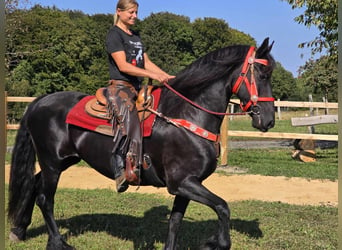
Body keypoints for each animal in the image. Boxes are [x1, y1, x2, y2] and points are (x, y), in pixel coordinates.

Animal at [7, 38, 276, 249]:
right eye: (263, 75)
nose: (269, 120)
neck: (186, 115)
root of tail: (39, 101)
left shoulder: (186, 185)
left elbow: (175, 222)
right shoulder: (182, 183)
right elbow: (223, 207)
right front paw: (214, 243)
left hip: (63, 161)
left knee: (34, 184)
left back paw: (19, 230)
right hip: (52, 163)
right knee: (45, 198)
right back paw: (57, 242)